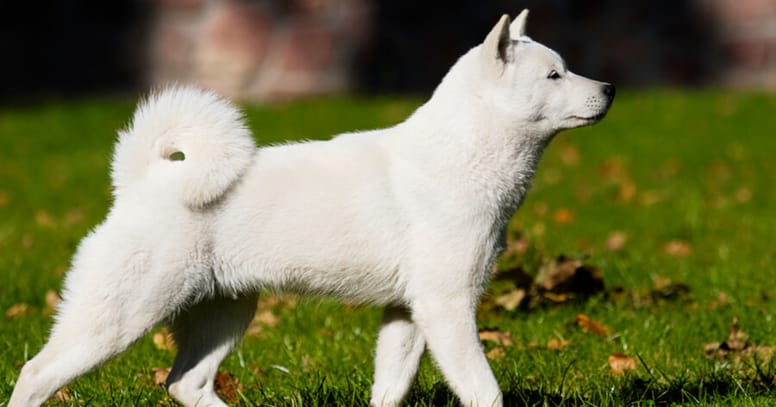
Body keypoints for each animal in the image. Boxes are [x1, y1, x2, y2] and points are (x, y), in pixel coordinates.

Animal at [7, 9, 612, 407]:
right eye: (554, 74)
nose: (608, 88)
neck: (461, 155)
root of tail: (142, 181)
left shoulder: (406, 315)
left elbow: (389, 390)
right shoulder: (446, 309)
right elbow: (484, 391)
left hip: (225, 313)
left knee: (185, 383)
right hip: (120, 317)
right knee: (35, 374)